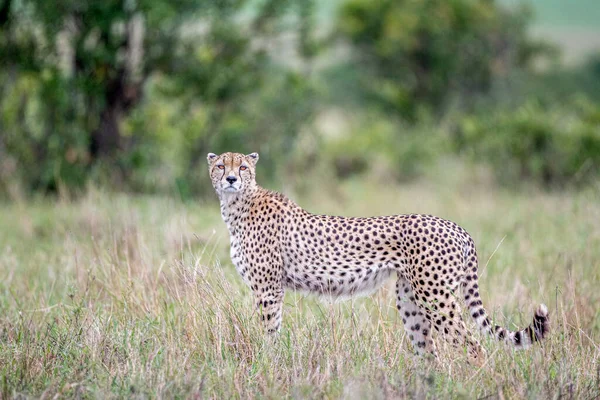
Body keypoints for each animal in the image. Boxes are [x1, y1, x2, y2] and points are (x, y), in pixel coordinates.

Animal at [206, 152, 548, 360]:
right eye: (221, 165)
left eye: (243, 167)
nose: (231, 179)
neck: (237, 204)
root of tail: (457, 227)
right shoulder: (270, 287)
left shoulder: (268, 288)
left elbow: (270, 329)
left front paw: (270, 361)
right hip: (410, 299)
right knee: (430, 352)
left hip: (436, 298)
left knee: (473, 346)